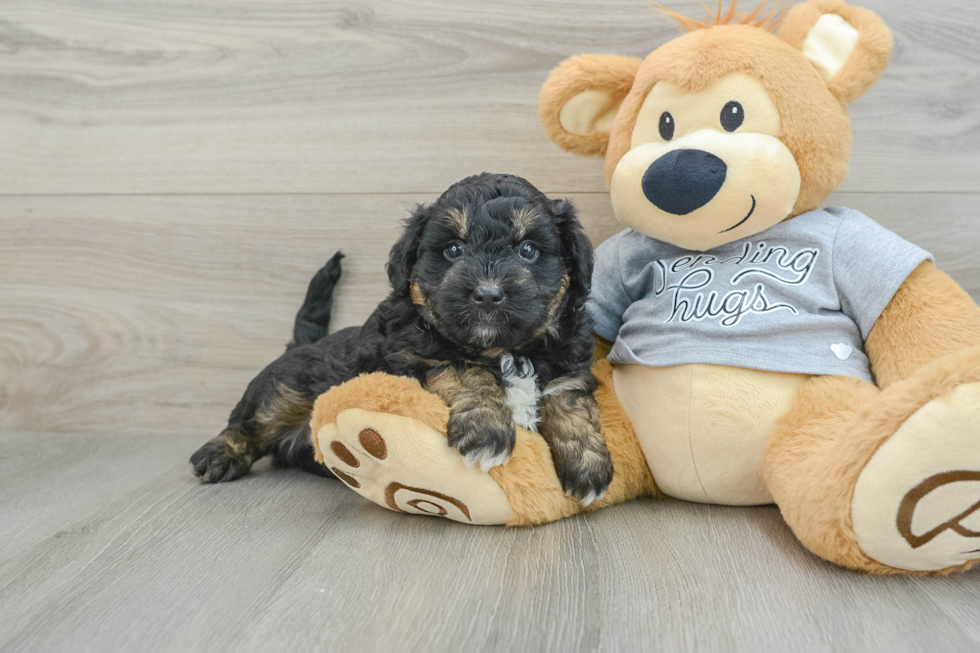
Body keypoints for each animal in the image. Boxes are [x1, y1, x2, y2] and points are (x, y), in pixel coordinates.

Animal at [190, 171, 612, 502]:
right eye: (453, 249)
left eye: (528, 249)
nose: (488, 294)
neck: (502, 348)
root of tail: (304, 344)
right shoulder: (412, 355)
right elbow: (467, 370)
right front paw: (486, 428)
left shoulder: (569, 364)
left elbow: (571, 402)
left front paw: (587, 462)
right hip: (288, 384)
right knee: (253, 421)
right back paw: (217, 455)